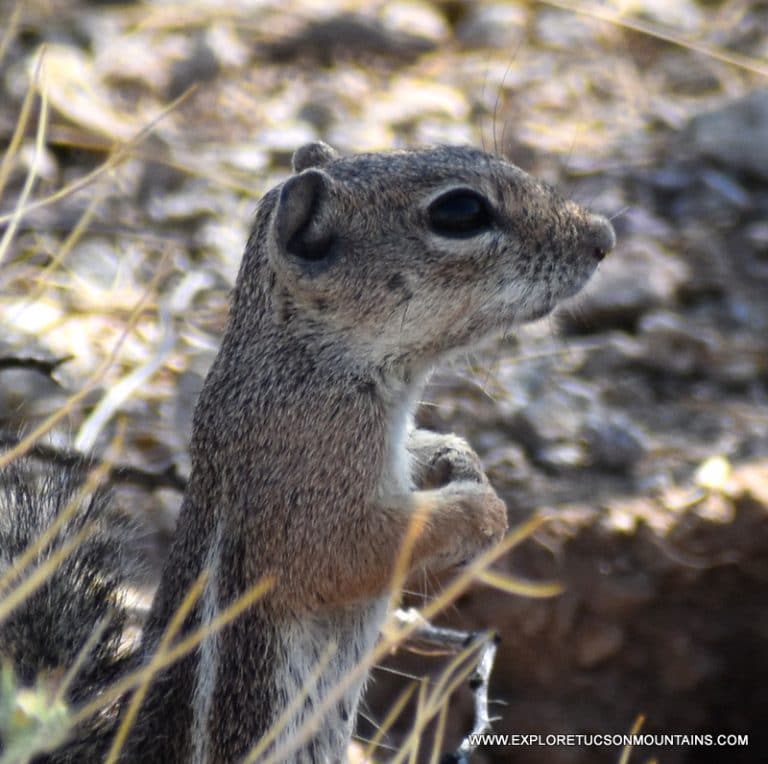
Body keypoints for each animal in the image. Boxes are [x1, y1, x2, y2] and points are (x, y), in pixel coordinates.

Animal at [0, 140, 612, 760]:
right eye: (460, 212)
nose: (603, 237)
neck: (309, 361)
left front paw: (459, 457)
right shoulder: (310, 469)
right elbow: (354, 550)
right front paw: (484, 512)